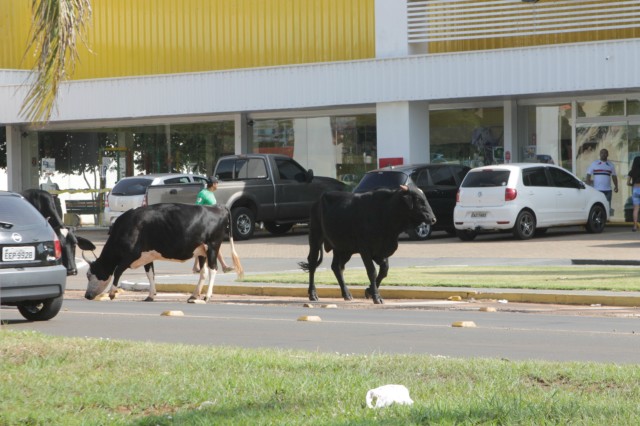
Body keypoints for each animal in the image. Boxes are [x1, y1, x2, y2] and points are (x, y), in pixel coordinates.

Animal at [82, 203, 242, 302]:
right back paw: (193, 296)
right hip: (201, 251)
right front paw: (151, 295)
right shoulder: (147, 256)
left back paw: (207, 296)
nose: (87, 295)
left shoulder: (131, 255)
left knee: (213, 269)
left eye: (89, 274)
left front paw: (112, 292)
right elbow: (150, 274)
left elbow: (117, 271)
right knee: (204, 272)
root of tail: (217, 206)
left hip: (212, 246)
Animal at [300, 186, 436, 302]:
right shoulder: (365, 249)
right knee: (312, 264)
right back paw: (313, 294)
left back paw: (346, 294)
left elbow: (384, 270)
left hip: (342, 249)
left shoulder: (381, 250)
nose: (433, 219)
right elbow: (372, 271)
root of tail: (318, 201)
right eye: (419, 200)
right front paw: (376, 296)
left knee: (337, 267)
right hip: (315, 238)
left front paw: (369, 291)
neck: (385, 213)